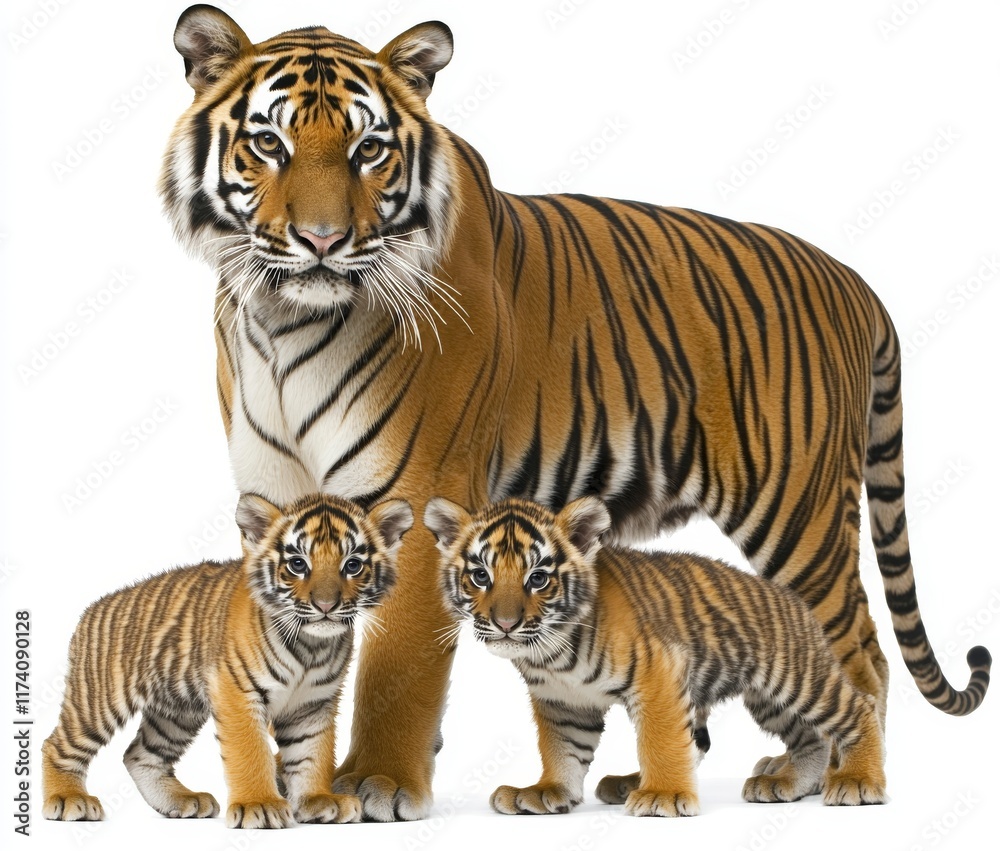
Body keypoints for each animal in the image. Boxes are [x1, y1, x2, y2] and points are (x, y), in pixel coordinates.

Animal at [42, 492, 412, 828]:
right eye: (297, 564)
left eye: (352, 565)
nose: (325, 605)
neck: (311, 644)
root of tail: (93, 608)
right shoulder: (237, 693)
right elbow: (250, 752)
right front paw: (259, 805)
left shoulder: (313, 704)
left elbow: (312, 754)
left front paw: (318, 800)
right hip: (99, 701)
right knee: (57, 745)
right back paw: (68, 799)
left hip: (177, 710)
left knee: (140, 755)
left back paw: (181, 801)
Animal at [426, 496, 990, 815]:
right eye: (481, 575)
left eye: (538, 577)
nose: (505, 622)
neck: (551, 652)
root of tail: (793, 596)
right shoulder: (564, 703)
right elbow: (562, 751)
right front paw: (546, 792)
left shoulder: (658, 675)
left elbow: (660, 741)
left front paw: (662, 796)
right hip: (768, 699)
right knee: (808, 739)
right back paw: (786, 784)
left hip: (797, 678)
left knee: (857, 708)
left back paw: (858, 781)